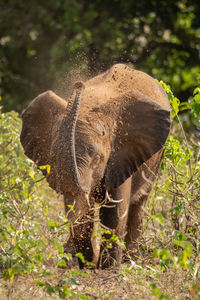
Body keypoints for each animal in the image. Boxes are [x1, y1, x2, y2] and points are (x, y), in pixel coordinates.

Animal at [19, 63, 170, 270]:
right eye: (54, 157)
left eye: (97, 159)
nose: (78, 85)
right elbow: (80, 210)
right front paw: (88, 266)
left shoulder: (120, 155)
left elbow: (114, 212)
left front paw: (108, 268)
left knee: (139, 203)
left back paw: (130, 261)